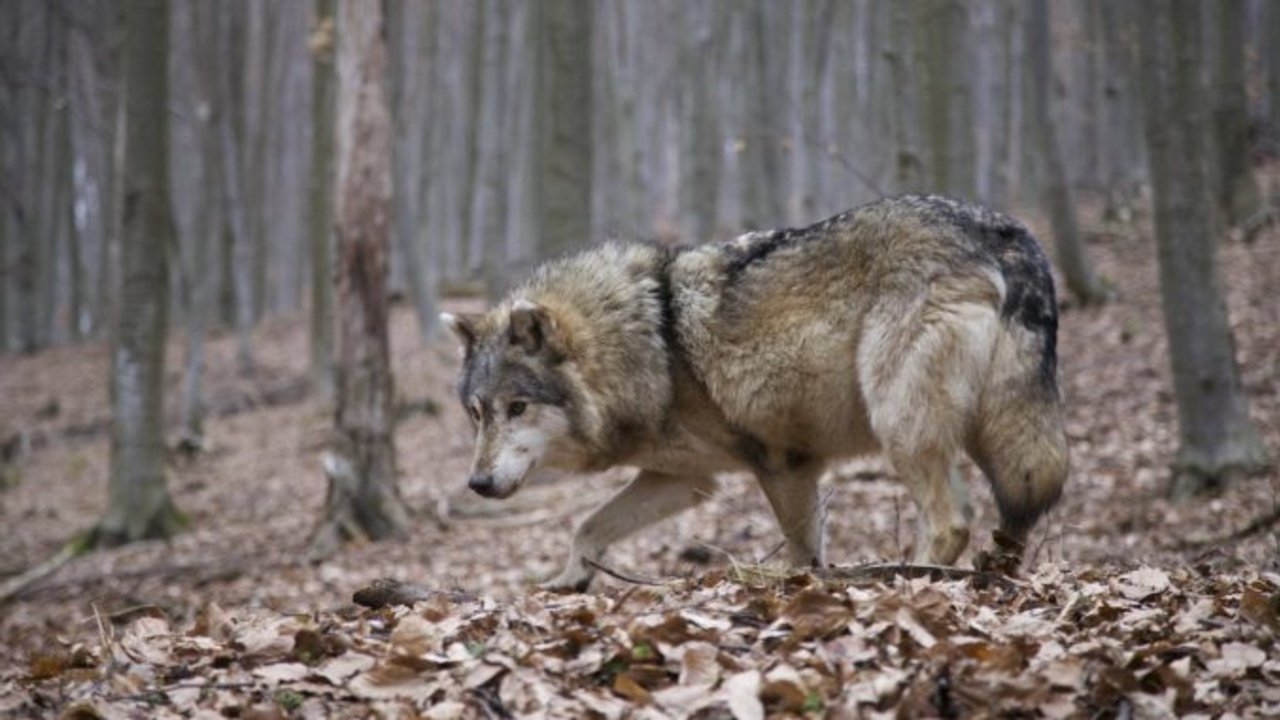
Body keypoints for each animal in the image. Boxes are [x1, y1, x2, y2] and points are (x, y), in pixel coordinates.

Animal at [445, 192, 1064, 589]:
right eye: (476, 413)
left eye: (517, 408)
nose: (477, 484)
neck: (654, 340)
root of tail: (1008, 235)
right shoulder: (686, 479)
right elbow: (586, 526)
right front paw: (570, 579)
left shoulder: (783, 464)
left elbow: (803, 553)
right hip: (991, 435)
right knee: (1012, 513)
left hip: (901, 425)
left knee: (949, 523)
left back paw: (907, 577)